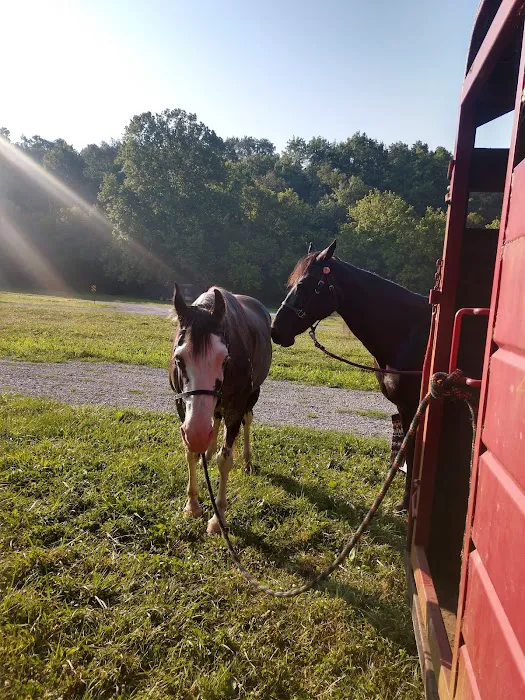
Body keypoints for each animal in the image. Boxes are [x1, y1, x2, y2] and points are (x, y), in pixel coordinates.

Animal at [170, 284, 272, 534]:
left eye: (225, 359)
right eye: (178, 358)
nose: (198, 434)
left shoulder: (236, 406)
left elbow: (224, 460)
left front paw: (218, 518)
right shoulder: (181, 406)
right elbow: (190, 451)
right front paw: (192, 505)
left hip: (253, 395)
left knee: (247, 421)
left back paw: (246, 460)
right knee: (215, 420)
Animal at [270, 240, 431, 512]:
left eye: (302, 285)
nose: (275, 330)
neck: (407, 332)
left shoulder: (414, 407)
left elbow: (412, 452)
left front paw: (407, 503)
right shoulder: (405, 407)